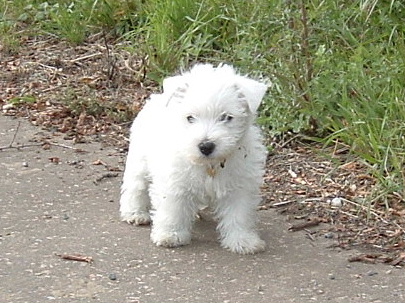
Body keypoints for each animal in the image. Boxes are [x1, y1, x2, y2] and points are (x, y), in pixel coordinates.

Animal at [118, 63, 266, 254]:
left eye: (227, 117)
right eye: (190, 117)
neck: (210, 166)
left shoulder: (240, 186)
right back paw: (135, 213)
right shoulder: (174, 182)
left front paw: (243, 240)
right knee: (135, 188)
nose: (206, 146)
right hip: (139, 162)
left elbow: (239, 214)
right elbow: (172, 209)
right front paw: (171, 235)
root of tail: (156, 98)